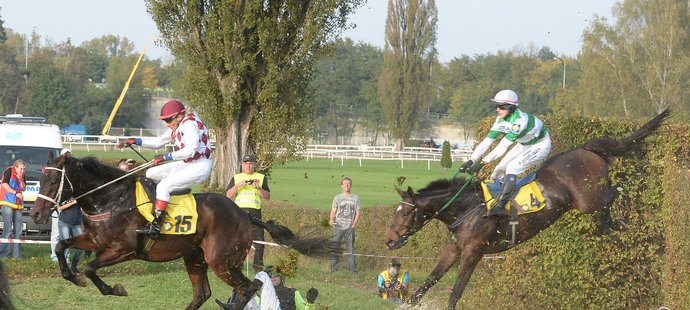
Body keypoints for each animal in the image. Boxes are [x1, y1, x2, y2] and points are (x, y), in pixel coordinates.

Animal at [30, 155, 340, 310]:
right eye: (41, 178)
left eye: (53, 180)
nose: (35, 214)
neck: (111, 199)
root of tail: (245, 214)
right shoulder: (94, 240)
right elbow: (61, 247)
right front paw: (72, 277)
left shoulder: (124, 250)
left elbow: (91, 268)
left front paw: (113, 288)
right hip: (194, 257)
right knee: (203, 293)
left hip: (221, 261)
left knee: (249, 287)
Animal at [382, 109, 668, 310]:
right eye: (396, 212)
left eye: (405, 213)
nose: (389, 240)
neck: (466, 209)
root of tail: (586, 149)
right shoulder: (454, 248)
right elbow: (429, 280)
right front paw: (408, 303)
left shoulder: (474, 251)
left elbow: (457, 290)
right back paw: (610, 223)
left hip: (588, 200)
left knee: (614, 191)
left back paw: (617, 217)